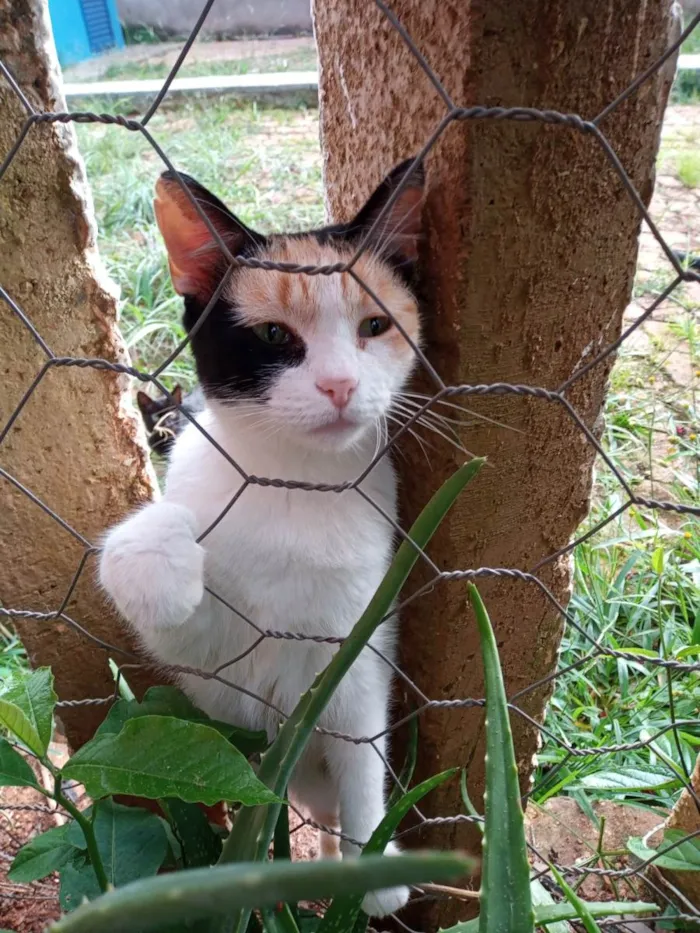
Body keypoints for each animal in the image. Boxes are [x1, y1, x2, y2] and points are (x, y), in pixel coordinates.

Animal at [99, 160, 426, 916]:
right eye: (276, 337)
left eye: (374, 325)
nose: (339, 384)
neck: (295, 483)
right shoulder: (209, 660)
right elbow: (170, 610)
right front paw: (158, 557)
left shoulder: (356, 641)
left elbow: (363, 749)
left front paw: (373, 874)